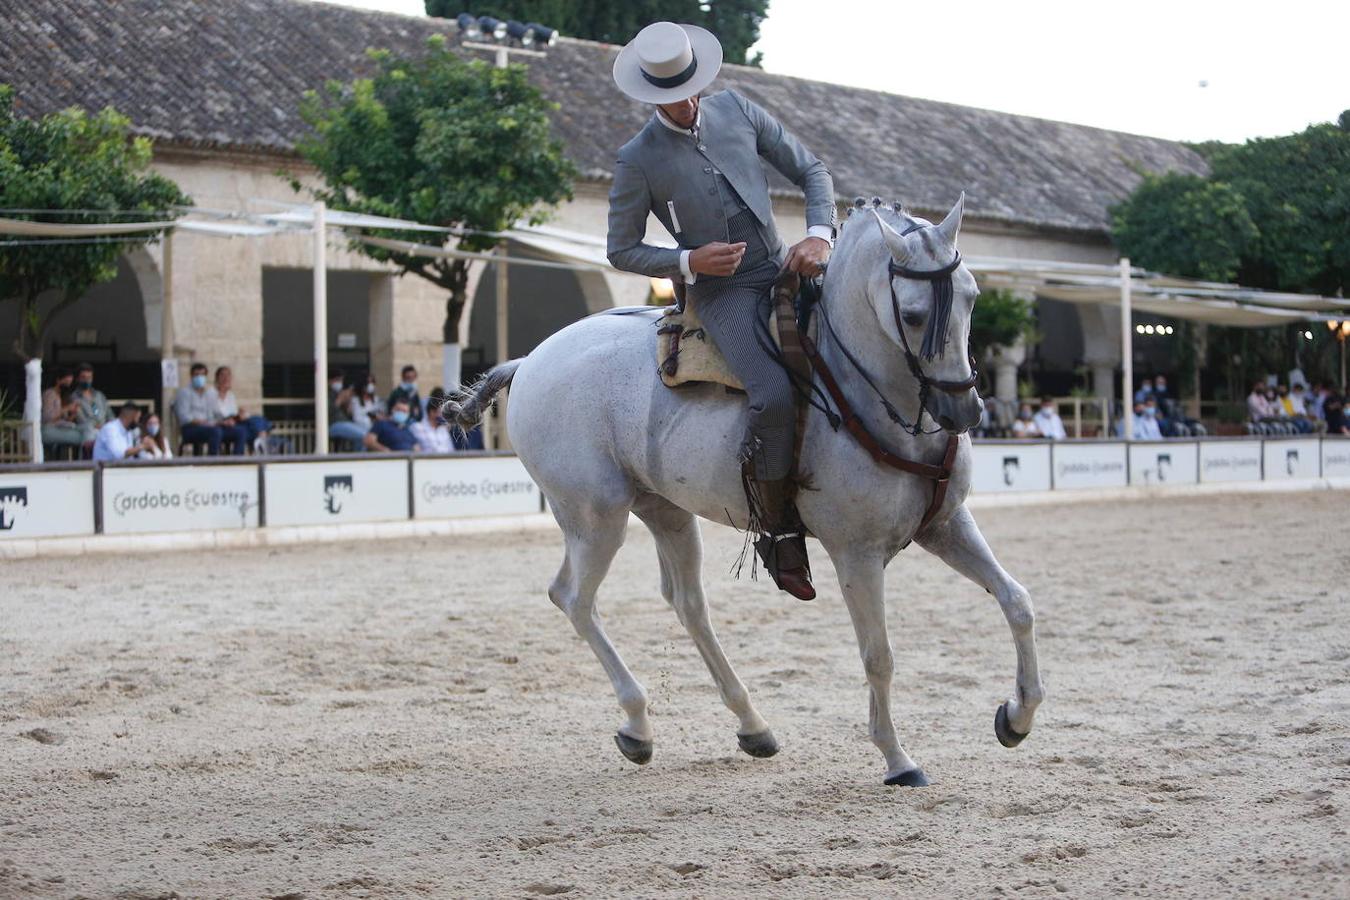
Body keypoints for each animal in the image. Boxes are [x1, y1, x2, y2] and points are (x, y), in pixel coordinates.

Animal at [450, 195, 1042, 782]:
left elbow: (1017, 601)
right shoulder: (857, 553)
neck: (861, 389)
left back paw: (751, 725)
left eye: (972, 297)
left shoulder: (946, 525)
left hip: (663, 511)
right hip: (596, 519)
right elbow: (878, 654)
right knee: (575, 599)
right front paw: (897, 758)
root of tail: (530, 360)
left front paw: (1017, 717)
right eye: (915, 316)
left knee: (685, 603)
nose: (963, 411)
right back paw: (638, 723)